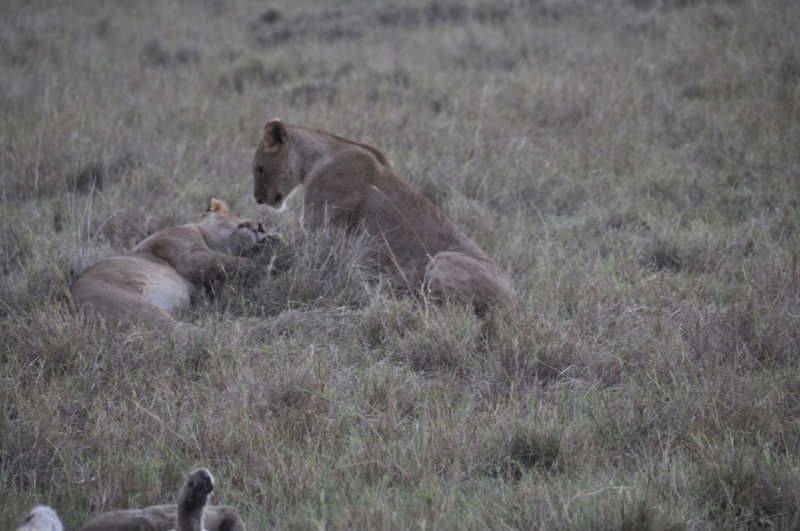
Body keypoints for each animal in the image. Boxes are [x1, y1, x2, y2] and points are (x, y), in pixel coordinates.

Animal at [69, 200, 268, 330]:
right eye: (239, 216)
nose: (262, 226)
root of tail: (70, 309)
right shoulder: (192, 257)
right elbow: (238, 263)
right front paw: (268, 266)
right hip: (133, 307)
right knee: (183, 333)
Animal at [252, 118, 512, 314]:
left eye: (259, 169)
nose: (257, 199)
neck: (315, 157)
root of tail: (513, 300)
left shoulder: (322, 230)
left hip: (442, 260)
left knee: (445, 313)